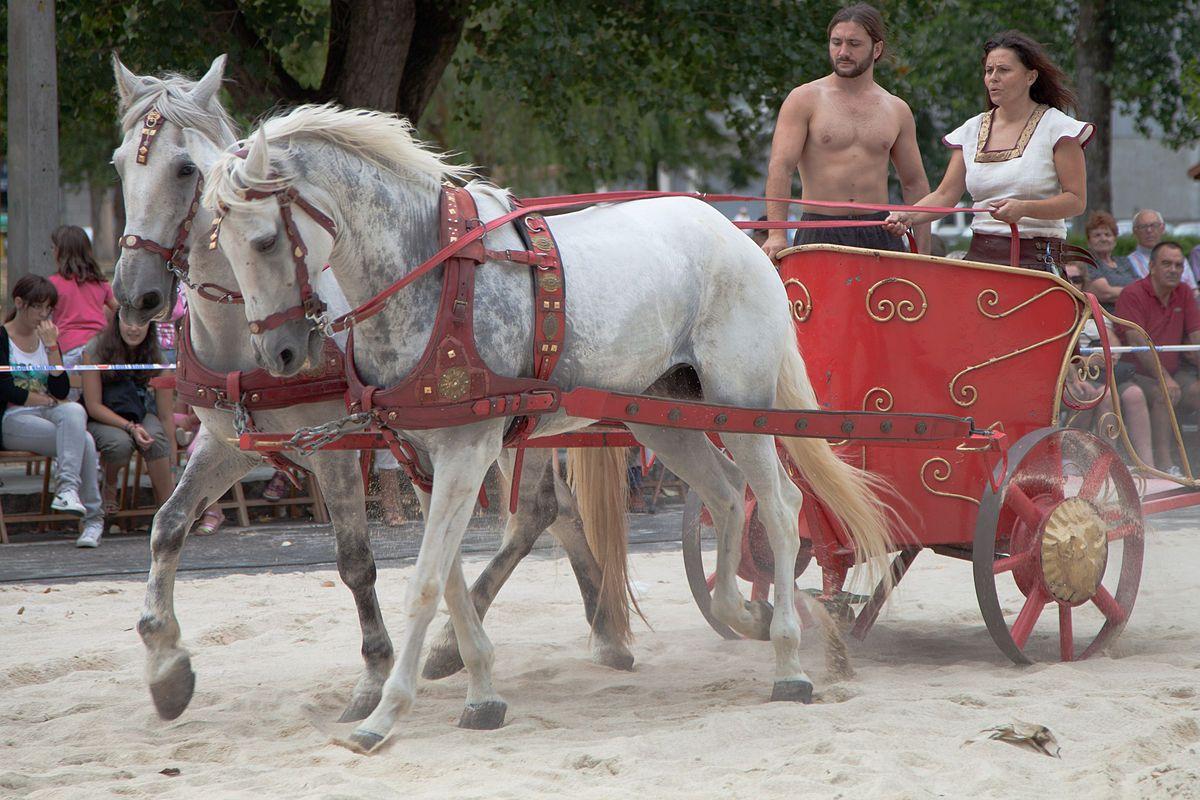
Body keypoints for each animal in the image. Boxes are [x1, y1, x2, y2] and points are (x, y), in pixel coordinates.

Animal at [184, 106, 902, 753]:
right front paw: (480, 694)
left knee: (778, 507)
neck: (429, 274)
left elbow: (425, 582)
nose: (280, 354)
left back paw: (787, 660)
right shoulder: (421, 455)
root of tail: (739, 238)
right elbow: (448, 576)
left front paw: (385, 715)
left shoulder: (468, 450)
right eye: (222, 245)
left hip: (742, 405)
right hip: (665, 416)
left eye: (264, 241)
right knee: (727, 495)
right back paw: (740, 612)